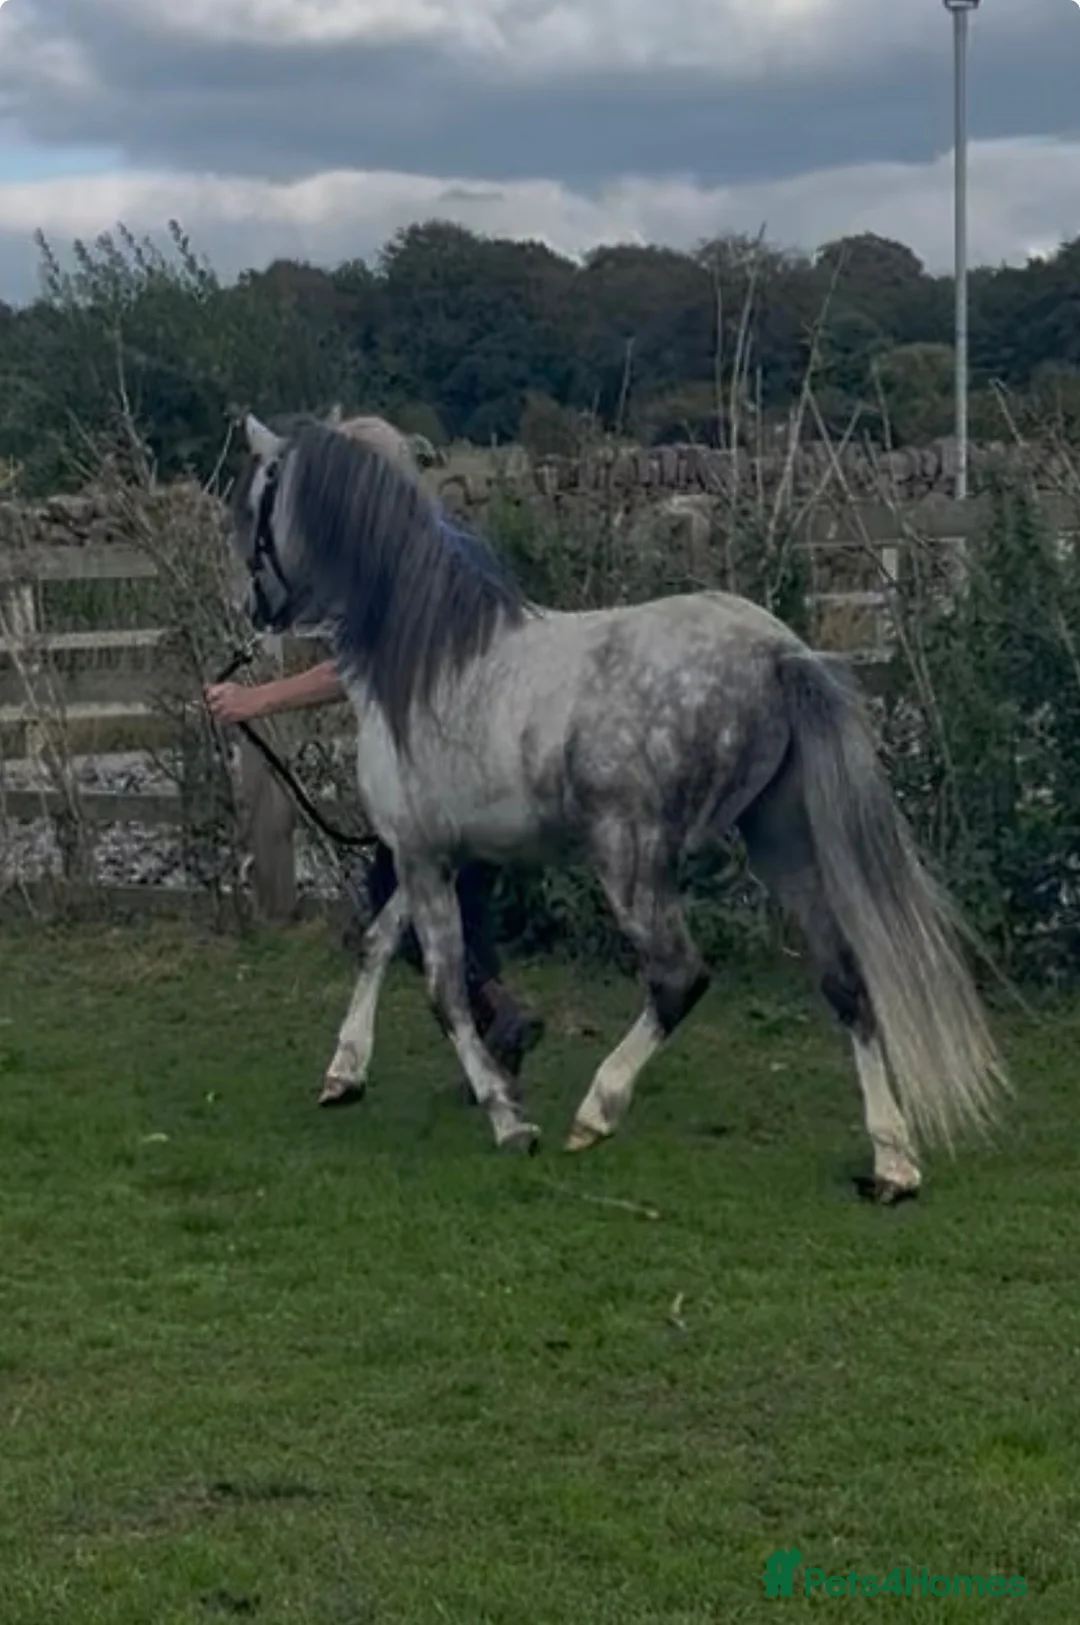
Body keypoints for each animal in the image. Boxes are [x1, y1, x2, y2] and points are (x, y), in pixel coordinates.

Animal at [226, 410, 1008, 1201]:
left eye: (256, 504)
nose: (256, 608)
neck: (426, 660)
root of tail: (780, 655)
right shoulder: (443, 857)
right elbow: (381, 942)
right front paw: (345, 1072)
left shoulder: (421, 855)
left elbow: (444, 989)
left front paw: (508, 1120)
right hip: (781, 841)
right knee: (845, 977)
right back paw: (892, 1162)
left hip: (630, 857)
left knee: (679, 975)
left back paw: (596, 1110)